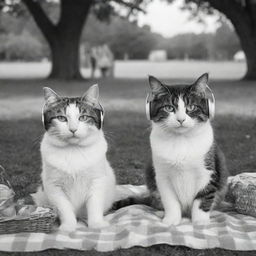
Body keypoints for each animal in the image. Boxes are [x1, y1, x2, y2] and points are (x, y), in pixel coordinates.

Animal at [33, 84, 116, 232]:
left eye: (83, 117)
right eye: (61, 118)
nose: (73, 129)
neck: (74, 150)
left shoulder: (97, 181)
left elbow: (95, 204)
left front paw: (96, 224)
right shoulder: (53, 186)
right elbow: (64, 208)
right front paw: (68, 227)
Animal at [114, 73, 228, 225]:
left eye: (191, 107)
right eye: (168, 108)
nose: (181, 120)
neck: (181, 141)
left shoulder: (207, 172)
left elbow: (203, 197)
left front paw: (200, 222)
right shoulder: (162, 175)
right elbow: (170, 200)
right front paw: (171, 220)